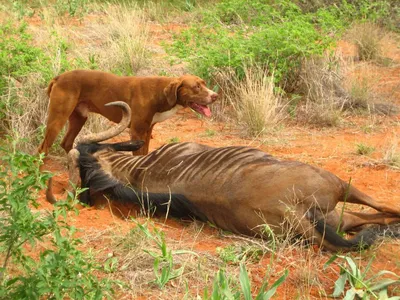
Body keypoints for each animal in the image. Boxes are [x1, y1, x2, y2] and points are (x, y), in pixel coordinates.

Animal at [37, 69, 219, 156]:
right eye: (196, 87)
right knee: (43, 148)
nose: (215, 96)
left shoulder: (147, 131)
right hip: (58, 119)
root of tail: (58, 77)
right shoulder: (137, 131)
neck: (160, 93)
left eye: (204, 84)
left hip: (79, 118)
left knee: (66, 143)